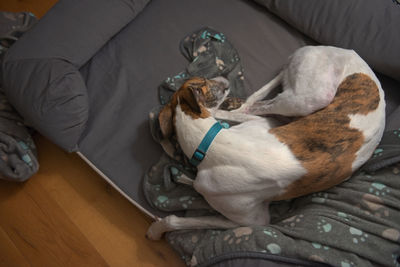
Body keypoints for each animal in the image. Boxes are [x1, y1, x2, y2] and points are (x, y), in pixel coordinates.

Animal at [146, 45, 384, 241]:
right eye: (204, 80)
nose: (225, 79)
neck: (211, 142)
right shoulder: (264, 125)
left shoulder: (254, 220)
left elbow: (180, 217)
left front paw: (156, 229)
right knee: (253, 104)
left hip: (311, 97)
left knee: (253, 105)